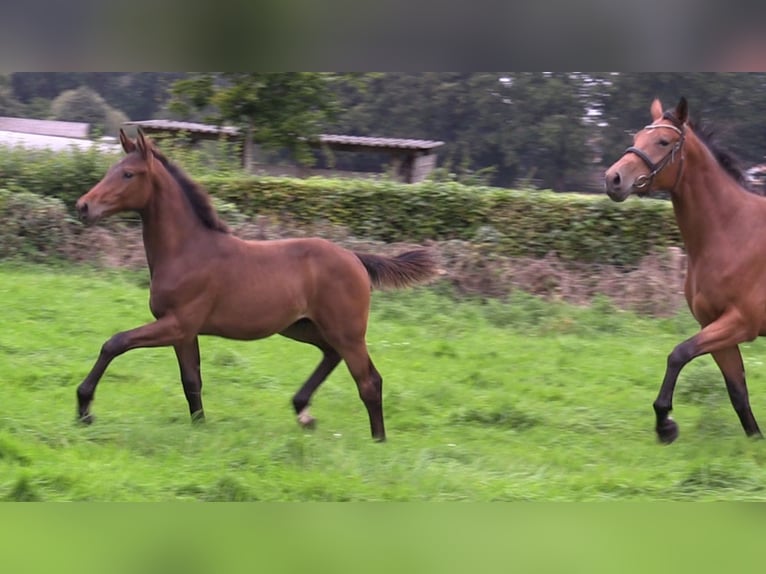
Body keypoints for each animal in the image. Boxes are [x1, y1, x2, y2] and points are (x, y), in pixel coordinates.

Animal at [76, 130, 444, 444]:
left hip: (347, 331)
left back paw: (378, 441)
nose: (83, 206)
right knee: (331, 354)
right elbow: (191, 380)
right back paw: (303, 410)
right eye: (111, 170)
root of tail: (356, 258)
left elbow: (114, 343)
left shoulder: (177, 324)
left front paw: (84, 409)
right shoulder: (185, 332)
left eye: (128, 174)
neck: (187, 250)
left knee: (369, 380)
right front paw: (200, 427)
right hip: (303, 327)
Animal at [608, 97, 764, 444]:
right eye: (637, 136)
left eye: (663, 142)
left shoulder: (741, 322)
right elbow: (738, 392)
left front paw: (665, 424)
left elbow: (679, 353)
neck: (733, 232)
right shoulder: (714, 325)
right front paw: (756, 441)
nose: (613, 179)